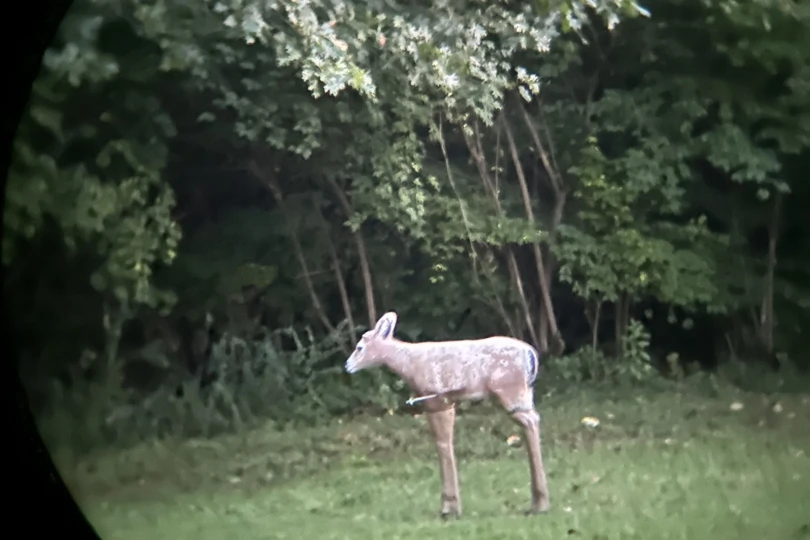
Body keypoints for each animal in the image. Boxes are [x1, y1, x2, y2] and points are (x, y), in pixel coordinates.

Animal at [344, 311, 550, 519]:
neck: (409, 364)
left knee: (531, 420)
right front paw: (451, 506)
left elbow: (442, 443)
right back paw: (538, 502)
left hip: (511, 390)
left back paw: (540, 504)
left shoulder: (438, 399)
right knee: (532, 420)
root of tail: (532, 355)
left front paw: (449, 508)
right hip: (523, 393)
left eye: (359, 347)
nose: (347, 365)